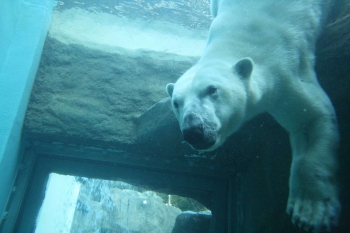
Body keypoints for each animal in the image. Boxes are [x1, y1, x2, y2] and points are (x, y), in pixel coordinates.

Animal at [165, 0, 340, 232]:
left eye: (212, 89)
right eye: (177, 103)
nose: (194, 130)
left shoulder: (284, 72)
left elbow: (310, 116)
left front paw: (309, 212)